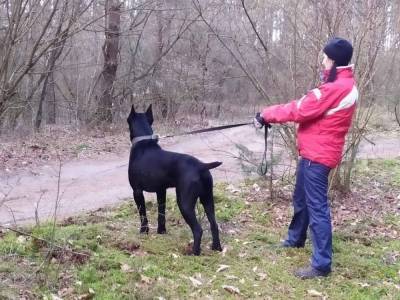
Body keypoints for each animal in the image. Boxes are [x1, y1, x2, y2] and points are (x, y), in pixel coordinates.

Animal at [127, 104, 223, 254]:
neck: (144, 143)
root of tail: (201, 166)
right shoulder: (161, 191)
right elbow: (161, 213)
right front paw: (161, 231)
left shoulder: (137, 191)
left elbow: (143, 214)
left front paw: (143, 232)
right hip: (208, 199)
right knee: (214, 224)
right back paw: (216, 248)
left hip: (184, 202)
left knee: (198, 230)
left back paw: (194, 253)